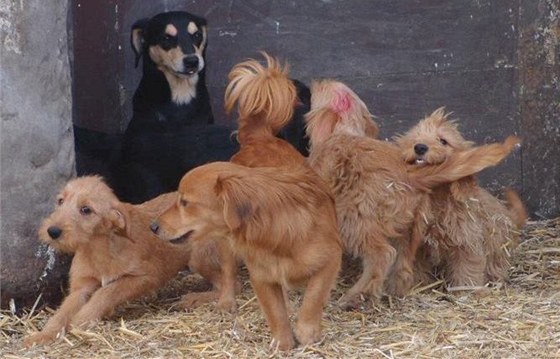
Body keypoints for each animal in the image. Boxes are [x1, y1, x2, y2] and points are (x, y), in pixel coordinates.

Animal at [23, 177, 231, 348]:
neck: (98, 248)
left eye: (86, 210)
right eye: (60, 201)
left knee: (229, 286)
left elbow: (107, 292)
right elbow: (61, 313)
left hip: (199, 258)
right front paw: (43, 335)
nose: (52, 231)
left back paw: (194, 298)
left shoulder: (145, 277)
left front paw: (82, 318)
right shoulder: (80, 288)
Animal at [153, 162, 344, 352]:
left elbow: (313, 298)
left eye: (185, 202)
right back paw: (226, 301)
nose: (152, 226)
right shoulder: (261, 276)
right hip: (225, 247)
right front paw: (282, 343)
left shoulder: (330, 260)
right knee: (228, 275)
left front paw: (306, 333)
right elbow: (275, 312)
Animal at [394, 108, 524, 288]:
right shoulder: (416, 245)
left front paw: (466, 290)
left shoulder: (466, 243)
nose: (419, 147)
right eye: (415, 138)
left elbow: (466, 270)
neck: (436, 198)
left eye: (443, 141)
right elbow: (417, 270)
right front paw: (417, 285)